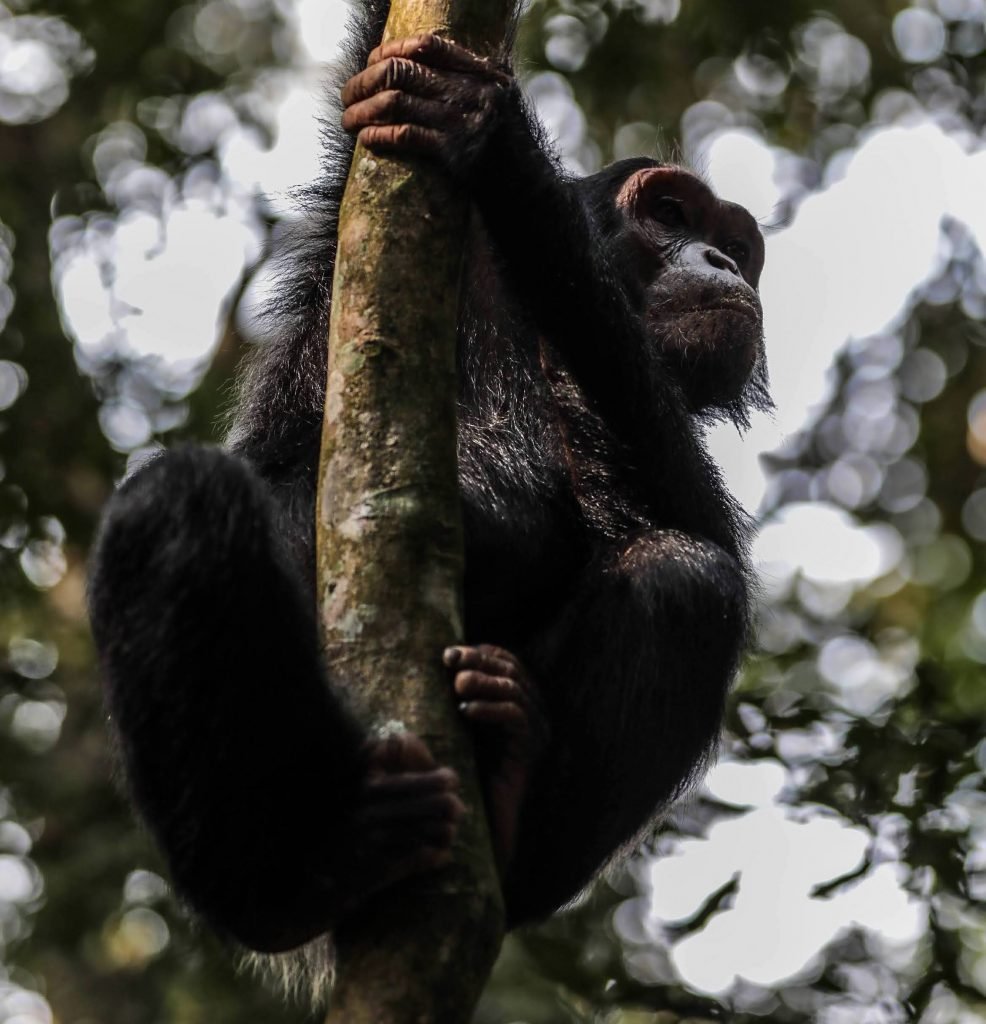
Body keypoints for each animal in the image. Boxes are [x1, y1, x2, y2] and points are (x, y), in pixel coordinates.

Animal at [86, 0, 769, 983]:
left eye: (737, 245)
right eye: (669, 213)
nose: (721, 258)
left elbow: (691, 519)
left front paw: (498, 146)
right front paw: (494, 137)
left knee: (685, 579)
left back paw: (511, 795)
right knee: (176, 504)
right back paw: (302, 875)